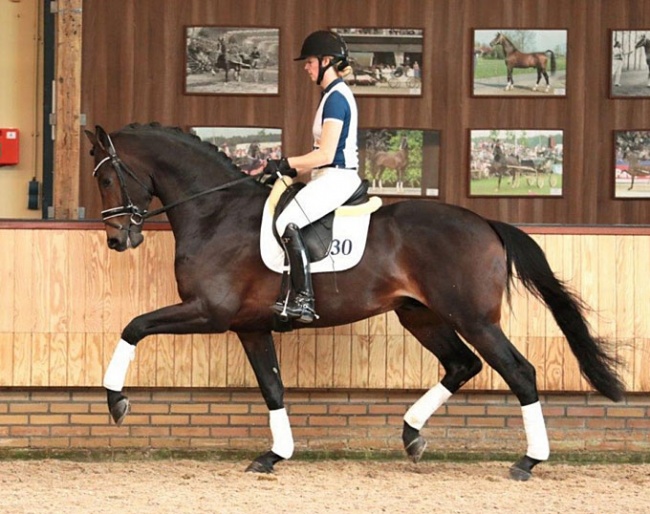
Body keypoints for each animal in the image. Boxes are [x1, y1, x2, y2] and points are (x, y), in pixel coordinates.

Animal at [83, 122, 620, 478]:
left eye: (106, 178)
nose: (117, 239)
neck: (216, 212)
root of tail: (485, 223)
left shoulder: (209, 313)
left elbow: (133, 326)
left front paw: (116, 401)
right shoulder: (250, 325)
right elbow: (272, 388)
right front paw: (274, 455)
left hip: (473, 318)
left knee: (519, 371)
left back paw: (528, 460)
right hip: (420, 315)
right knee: (462, 365)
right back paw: (411, 435)